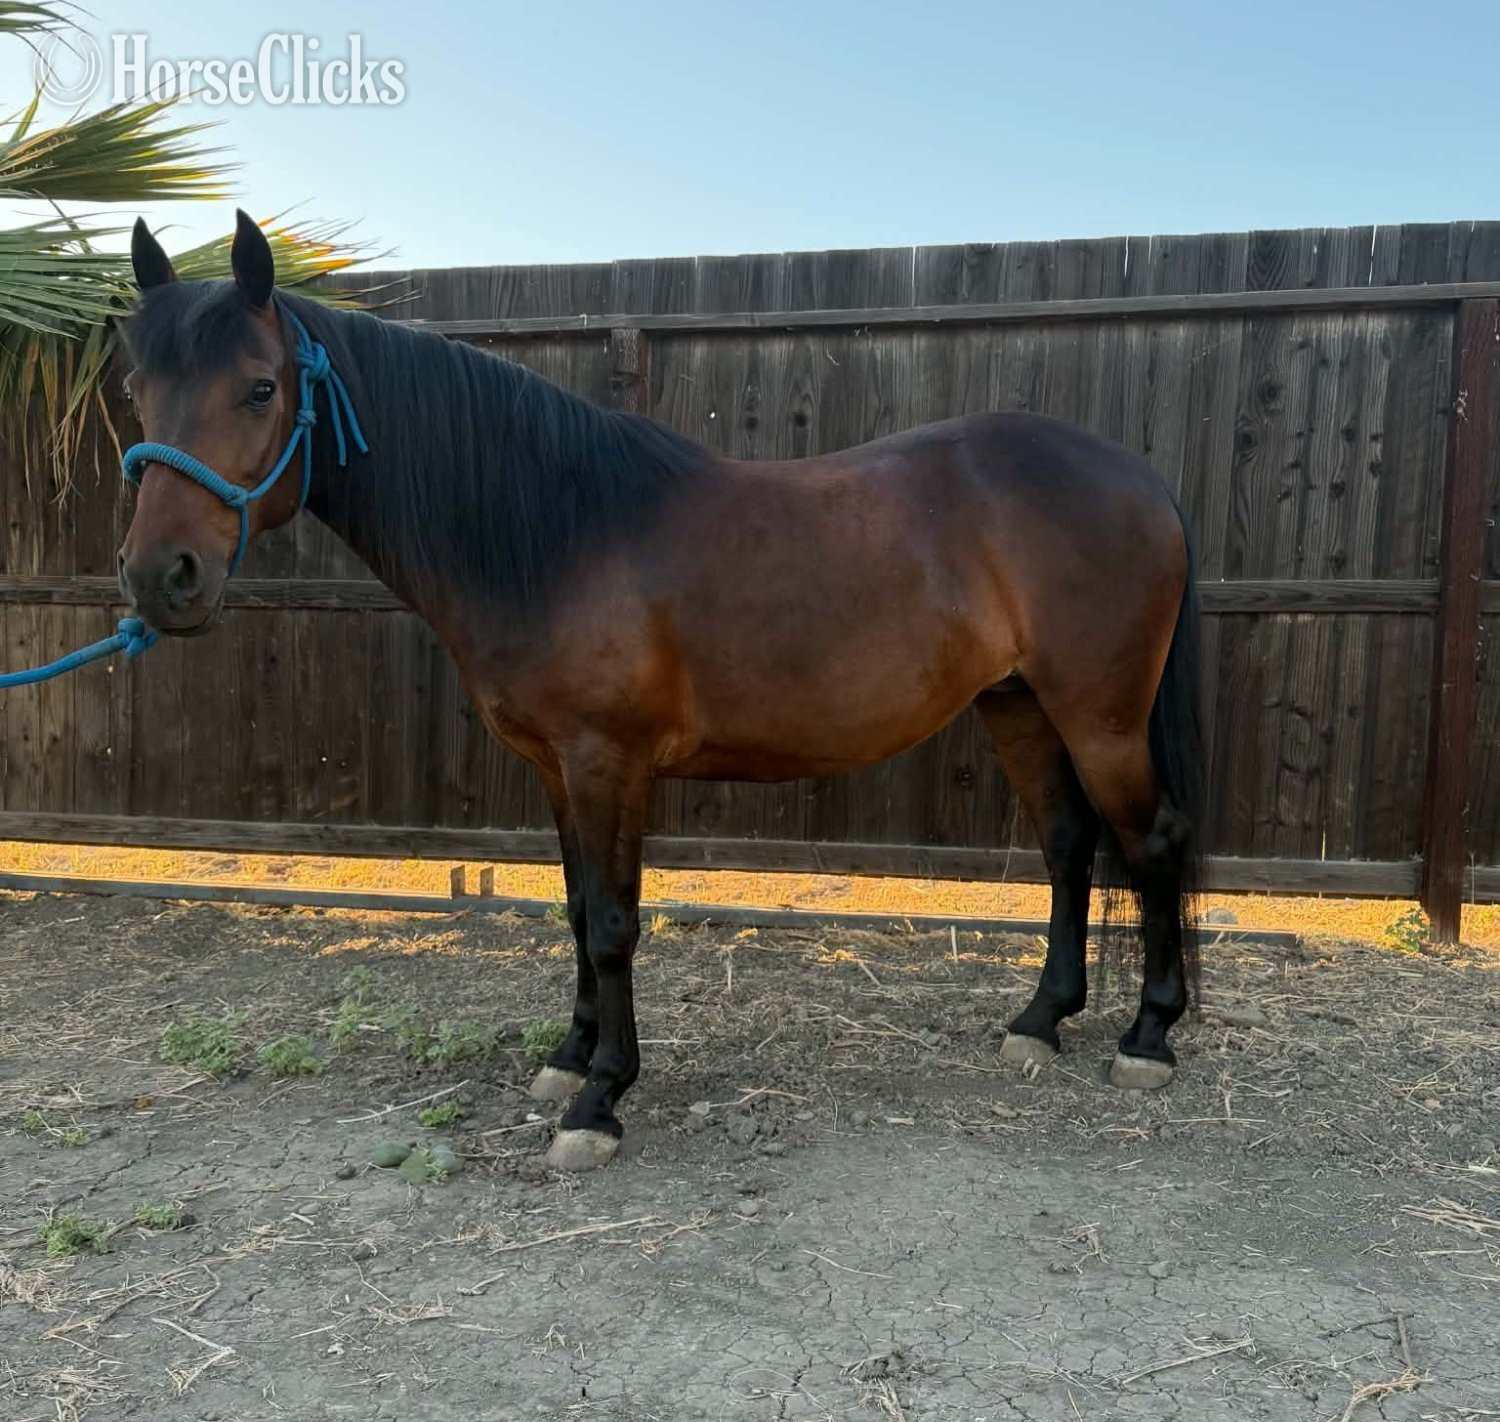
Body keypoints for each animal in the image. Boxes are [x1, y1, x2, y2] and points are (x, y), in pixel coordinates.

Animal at [118, 212, 1205, 1172]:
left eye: (260, 388)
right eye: (137, 388)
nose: (159, 576)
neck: (561, 531)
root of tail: (1141, 480)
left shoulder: (609, 761)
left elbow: (612, 922)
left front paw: (601, 1100)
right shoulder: (556, 768)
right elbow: (572, 907)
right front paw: (568, 1061)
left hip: (1100, 714)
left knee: (1150, 843)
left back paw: (1146, 1038)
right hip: (1017, 702)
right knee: (1068, 845)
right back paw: (1040, 1020)